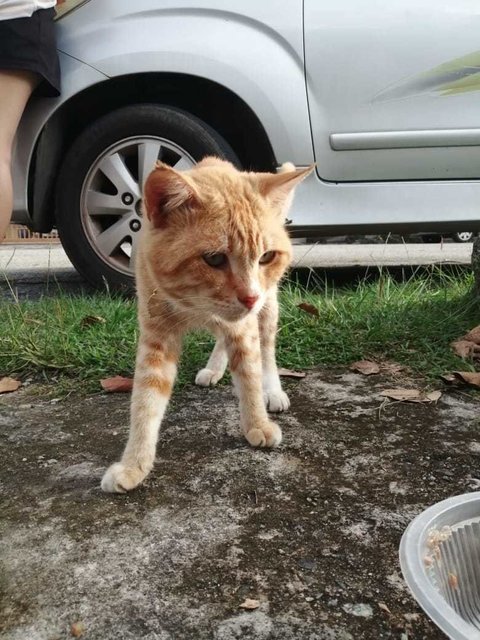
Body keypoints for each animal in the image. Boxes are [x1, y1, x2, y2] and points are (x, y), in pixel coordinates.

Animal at [101, 158, 312, 492]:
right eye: (213, 259)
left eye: (266, 256)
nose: (250, 297)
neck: (194, 304)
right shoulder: (157, 336)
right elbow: (145, 401)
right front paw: (135, 464)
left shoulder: (245, 326)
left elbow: (250, 375)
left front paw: (257, 423)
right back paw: (214, 368)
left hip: (268, 308)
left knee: (266, 349)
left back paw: (272, 389)